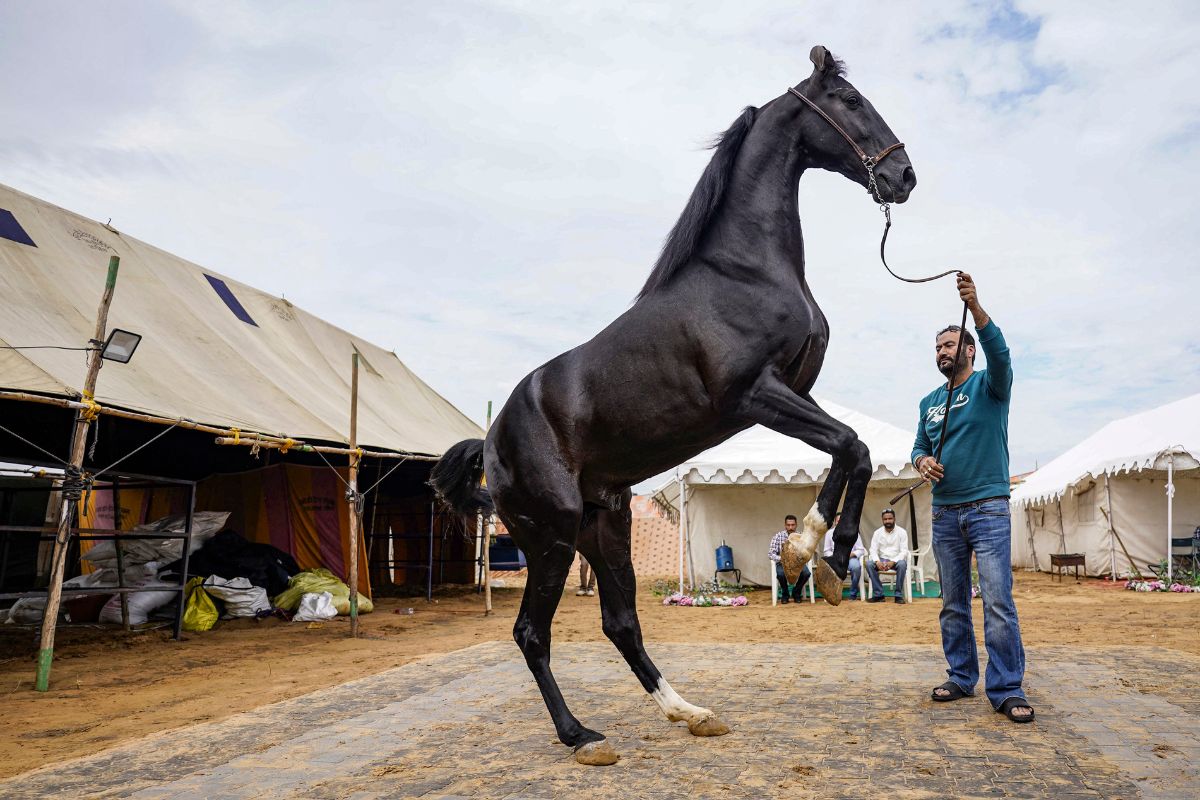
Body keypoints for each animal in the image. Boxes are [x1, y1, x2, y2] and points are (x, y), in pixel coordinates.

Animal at [430, 45, 916, 766]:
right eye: (852, 100)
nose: (904, 175)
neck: (744, 268)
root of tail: (490, 442)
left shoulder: (792, 394)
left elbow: (850, 449)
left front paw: (823, 562)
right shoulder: (756, 395)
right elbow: (851, 446)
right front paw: (812, 552)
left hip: (605, 527)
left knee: (621, 623)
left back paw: (689, 713)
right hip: (551, 535)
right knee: (531, 633)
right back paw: (581, 737)